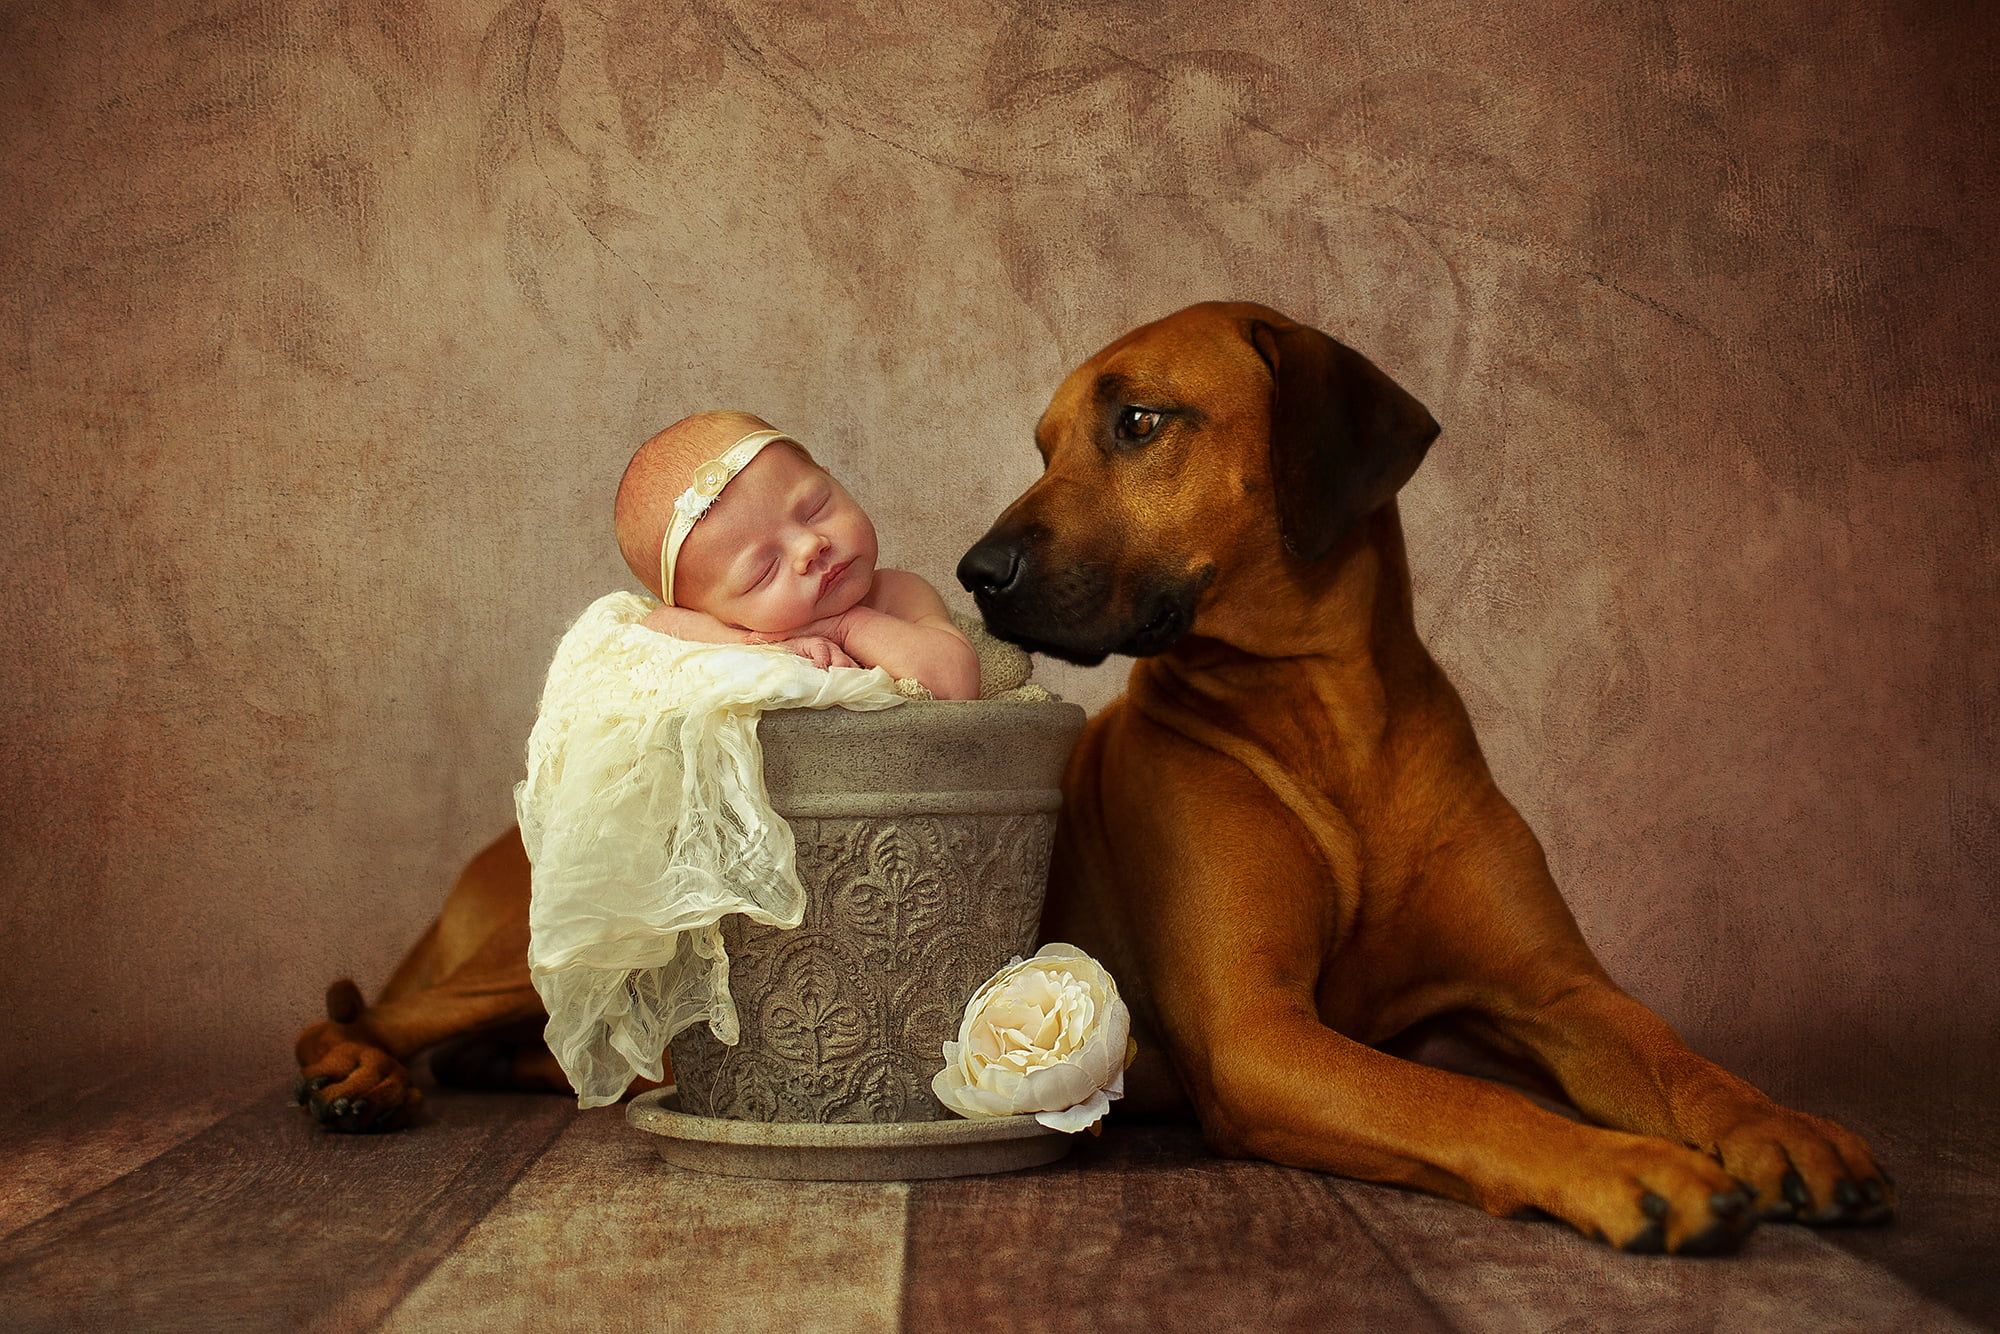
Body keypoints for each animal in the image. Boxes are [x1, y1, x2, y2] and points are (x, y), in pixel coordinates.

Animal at [952, 300, 1888, 1256]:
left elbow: (1672, 1054)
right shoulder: (1255, 1033)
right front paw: (1627, 1164)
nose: (976, 572)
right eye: (1046, 449)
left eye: (1138, 421)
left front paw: (1782, 1127)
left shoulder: (1558, 992)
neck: (1334, 722)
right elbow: (1468, 1099)